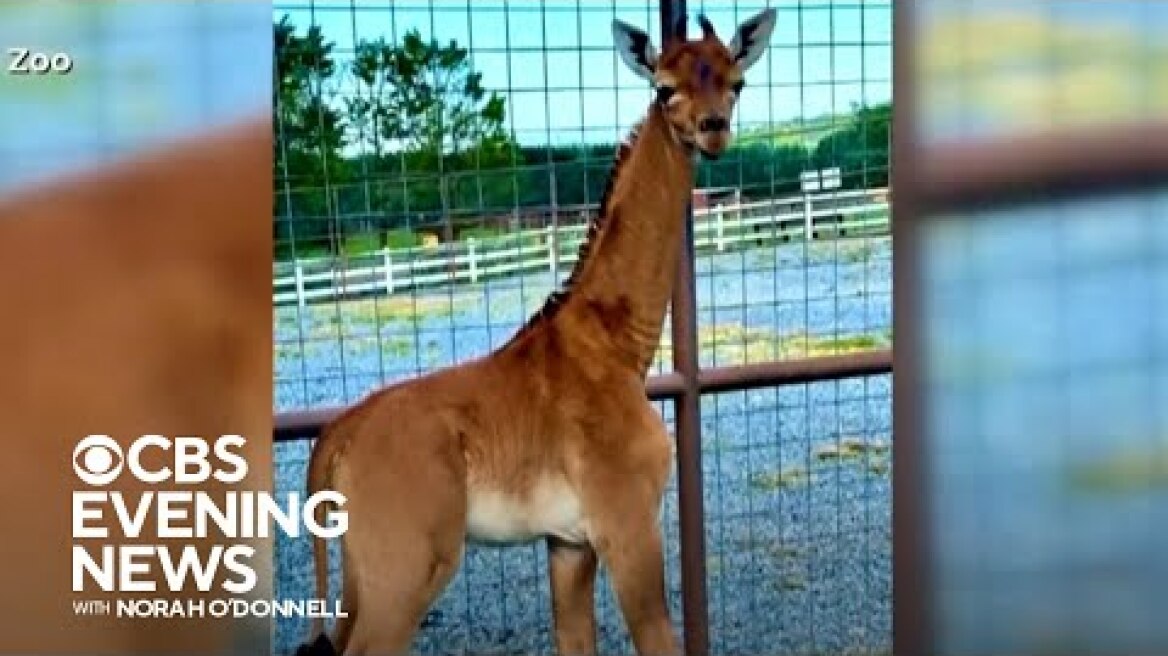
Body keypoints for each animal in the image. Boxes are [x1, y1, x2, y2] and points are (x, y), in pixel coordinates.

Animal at [298, 9, 776, 656]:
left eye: (736, 82)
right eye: (663, 88)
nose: (713, 130)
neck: (615, 347)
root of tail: (333, 442)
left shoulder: (568, 543)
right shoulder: (626, 522)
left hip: (362, 575)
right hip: (405, 569)